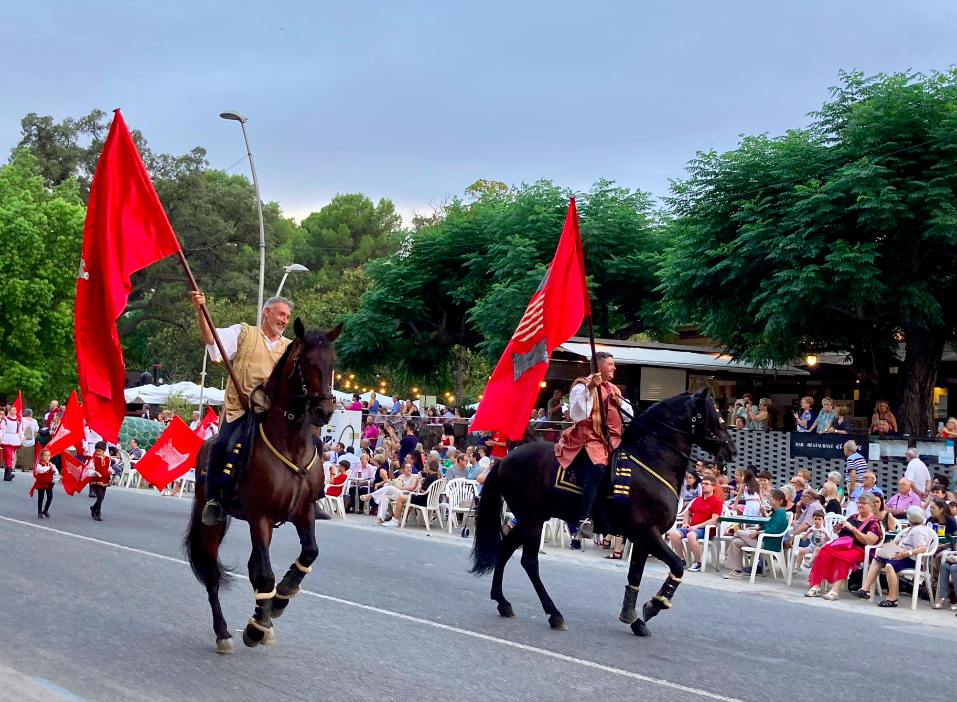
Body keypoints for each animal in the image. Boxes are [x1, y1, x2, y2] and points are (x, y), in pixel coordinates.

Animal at [184, 320, 340, 656]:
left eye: (333, 362)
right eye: (304, 361)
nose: (324, 412)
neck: (291, 443)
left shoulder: (303, 511)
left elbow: (309, 552)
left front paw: (282, 595)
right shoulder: (261, 517)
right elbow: (264, 574)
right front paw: (255, 627)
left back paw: (264, 618)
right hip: (212, 522)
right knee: (214, 574)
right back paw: (225, 632)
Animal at [468, 388, 732, 640]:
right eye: (712, 414)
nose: (730, 447)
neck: (651, 461)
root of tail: (504, 459)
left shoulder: (642, 538)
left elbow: (635, 575)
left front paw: (633, 619)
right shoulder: (648, 534)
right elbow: (677, 565)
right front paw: (655, 604)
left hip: (530, 519)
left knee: (505, 548)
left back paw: (502, 601)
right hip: (531, 519)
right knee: (529, 561)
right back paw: (554, 614)